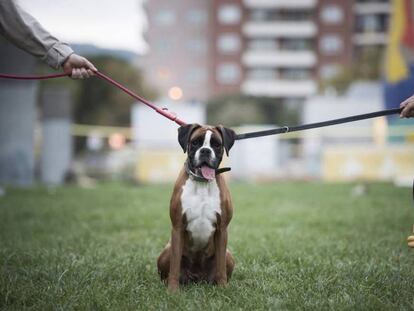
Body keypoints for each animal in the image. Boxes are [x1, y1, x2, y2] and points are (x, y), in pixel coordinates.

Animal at [157, 124, 236, 292]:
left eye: (216, 144)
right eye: (195, 142)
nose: (205, 150)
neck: (202, 183)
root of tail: (198, 278)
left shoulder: (222, 230)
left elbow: (221, 266)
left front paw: (223, 288)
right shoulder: (178, 227)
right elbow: (174, 265)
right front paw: (172, 290)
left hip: (229, 255)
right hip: (166, 251)